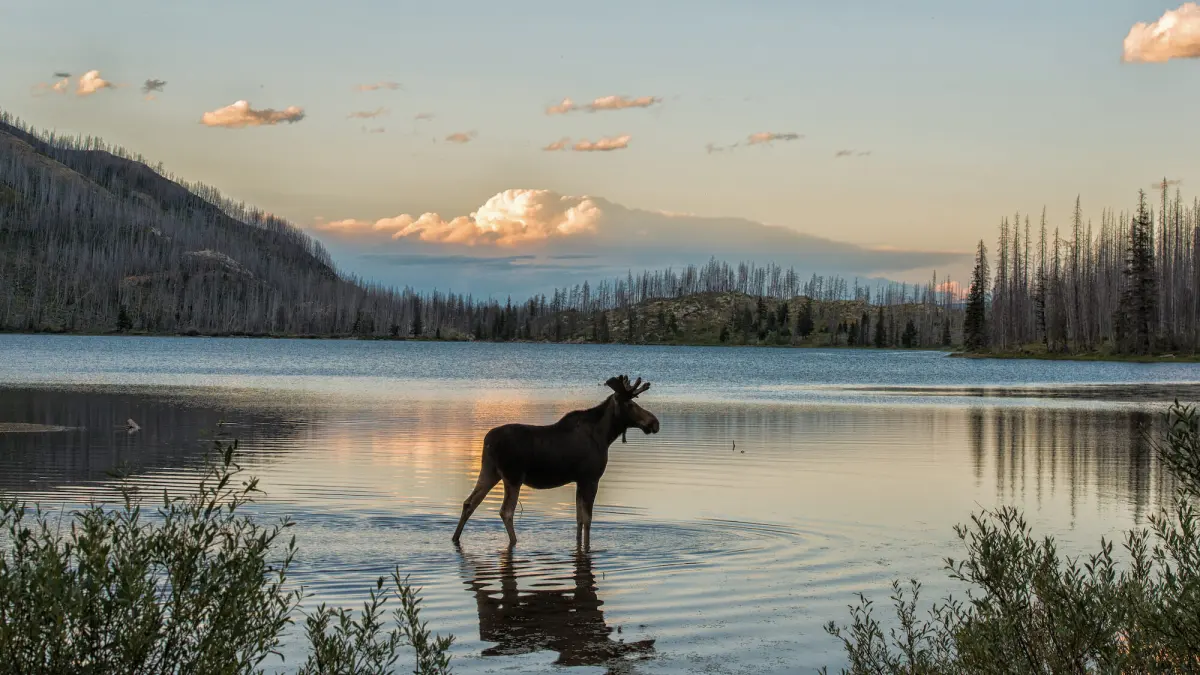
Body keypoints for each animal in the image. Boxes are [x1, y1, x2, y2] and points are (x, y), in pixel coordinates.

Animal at [451, 375, 660, 549]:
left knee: (469, 502)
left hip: (490, 471)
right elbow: (588, 519)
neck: (605, 435)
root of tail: (487, 440)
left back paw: (455, 537)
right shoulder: (591, 478)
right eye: (630, 405)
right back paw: (514, 541)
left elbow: (578, 518)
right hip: (513, 476)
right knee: (506, 511)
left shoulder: (579, 480)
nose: (654, 422)